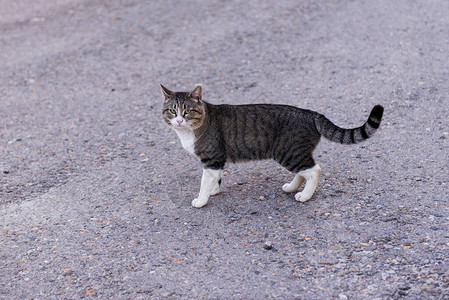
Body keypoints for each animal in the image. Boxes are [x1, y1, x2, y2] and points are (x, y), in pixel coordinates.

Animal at [161, 83, 382, 207]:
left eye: (187, 111)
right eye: (172, 111)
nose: (179, 120)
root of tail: (311, 113)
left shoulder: (212, 158)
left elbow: (204, 182)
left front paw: (201, 200)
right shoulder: (216, 160)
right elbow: (216, 179)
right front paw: (214, 190)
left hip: (288, 152)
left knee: (314, 170)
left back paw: (304, 196)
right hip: (293, 153)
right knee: (303, 171)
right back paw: (291, 187)